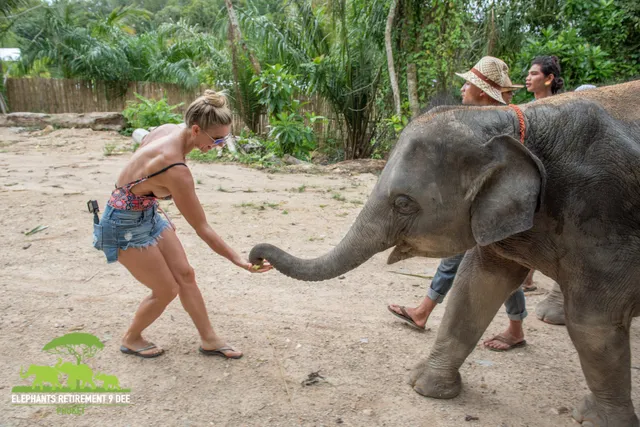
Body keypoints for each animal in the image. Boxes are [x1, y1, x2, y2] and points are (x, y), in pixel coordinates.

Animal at [250, 80, 640, 427]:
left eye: (404, 203)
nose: (256, 257)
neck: (513, 122)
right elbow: (475, 286)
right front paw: (424, 386)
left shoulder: (603, 216)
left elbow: (593, 322)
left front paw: (596, 421)